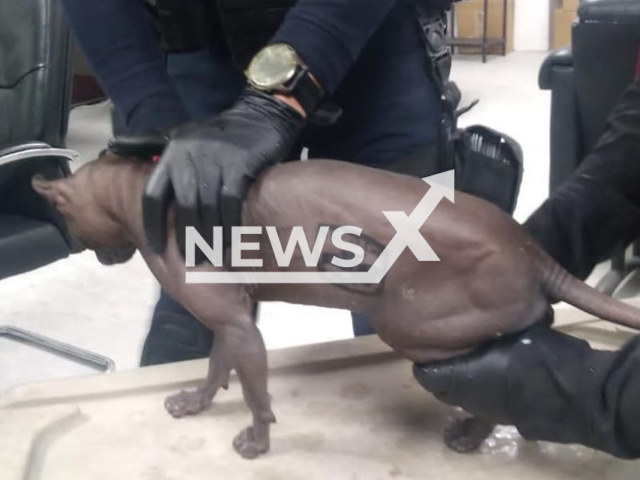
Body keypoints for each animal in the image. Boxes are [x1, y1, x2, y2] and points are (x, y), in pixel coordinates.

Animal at [31, 153, 640, 458]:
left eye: (67, 222)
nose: (100, 254)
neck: (141, 193)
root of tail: (529, 249)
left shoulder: (238, 325)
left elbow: (255, 395)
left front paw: (257, 442)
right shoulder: (235, 320)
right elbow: (216, 369)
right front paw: (196, 403)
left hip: (413, 324)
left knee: (503, 370)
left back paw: (473, 430)